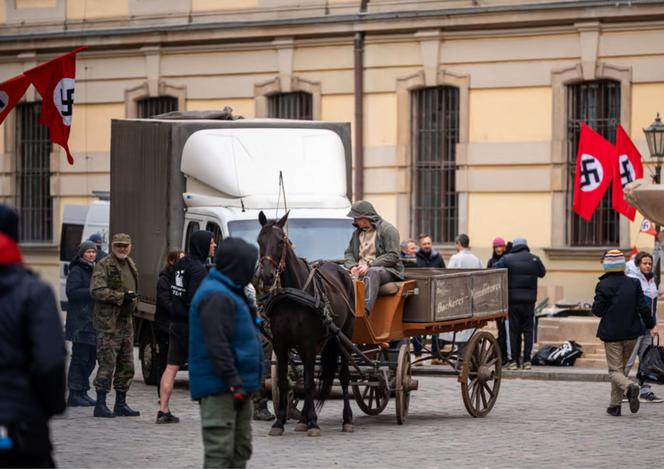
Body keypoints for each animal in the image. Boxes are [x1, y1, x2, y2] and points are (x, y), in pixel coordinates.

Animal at [256, 210, 356, 436]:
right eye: (259, 240)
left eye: (281, 240)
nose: (267, 275)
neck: (293, 294)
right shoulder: (281, 344)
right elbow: (285, 382)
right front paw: (279, 422)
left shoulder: (308, 343)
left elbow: (310, 383)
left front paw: (313, 423)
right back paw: (302, 419)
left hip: (343, 336)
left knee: (344, 376)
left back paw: (346, 419)